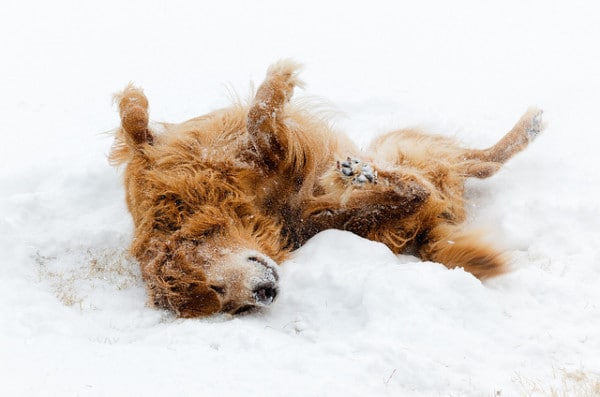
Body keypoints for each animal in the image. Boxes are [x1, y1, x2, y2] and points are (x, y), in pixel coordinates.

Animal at [109, 60, 544, 318]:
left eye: (214, 287)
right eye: (226, 303)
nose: (266, 294)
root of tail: (426, 232)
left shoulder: (166, 162)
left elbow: (138, 128)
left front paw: (133, 100)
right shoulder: (300, 207)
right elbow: (260, 125)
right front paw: (277, 85)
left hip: (404, 148)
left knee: (473, 165)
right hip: (399, 171)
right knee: (427, 185)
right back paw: (359, 174)